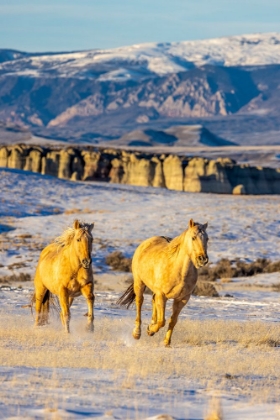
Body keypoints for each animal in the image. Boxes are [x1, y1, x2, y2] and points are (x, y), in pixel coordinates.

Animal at [117, 218, 209, 346]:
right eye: (193, 237)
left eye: (207, 238)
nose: (203, 259)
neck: (179, 272)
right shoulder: (162, 296)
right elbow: (162, 321)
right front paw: (151, 330)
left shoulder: (182, 299)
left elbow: (173, 320)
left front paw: (165, 341)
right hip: (139, 283)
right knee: (139, 302)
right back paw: (137, 333)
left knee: (153, 300)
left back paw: (151, 325)